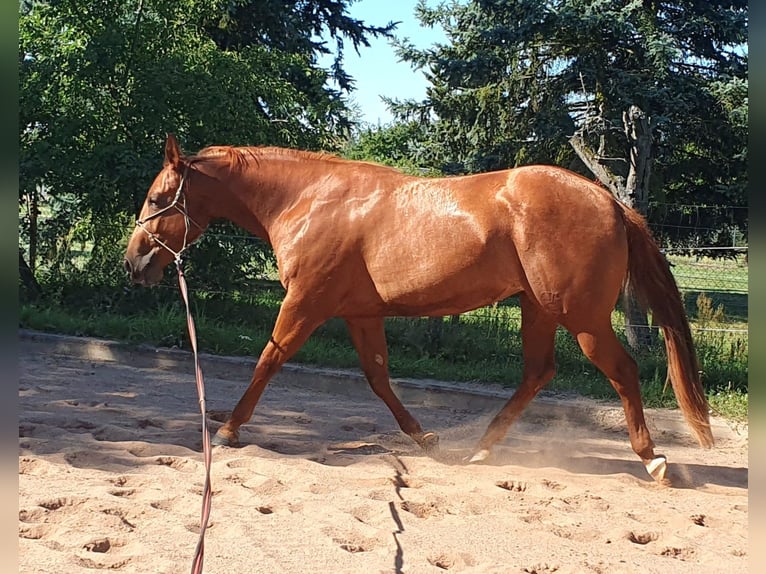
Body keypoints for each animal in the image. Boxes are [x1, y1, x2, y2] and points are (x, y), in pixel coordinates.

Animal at [124, 134, 713, 483]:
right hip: (539, 310)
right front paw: (424, 437)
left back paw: (653, 458)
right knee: (538, 372)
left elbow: (270, 359)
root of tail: (609, 200)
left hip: (581, 317)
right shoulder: (360, 314)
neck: (310, 200)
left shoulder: (307, 302)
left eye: (157, 198)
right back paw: (481, 450)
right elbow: (379, 378)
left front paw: (228, 430)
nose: (135, 263)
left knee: (622, 371)